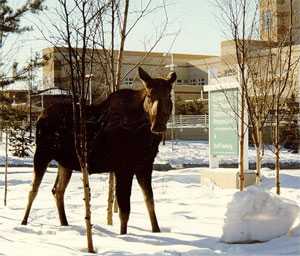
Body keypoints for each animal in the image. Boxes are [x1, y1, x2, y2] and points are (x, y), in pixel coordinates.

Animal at [22, 67, 177, 234]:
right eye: (149, 94)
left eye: (169, 94)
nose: (158, 125)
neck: (146, 135)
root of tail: (40, 116)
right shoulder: (123, 167)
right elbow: (125, 210)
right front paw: (124, 235)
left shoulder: (145, 166)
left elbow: (150, 201)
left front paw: (157, 231)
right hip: (42, 153)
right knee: (33, 189)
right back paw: (23, 222)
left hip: (65, 162)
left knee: (57, 190)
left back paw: (65, 223)